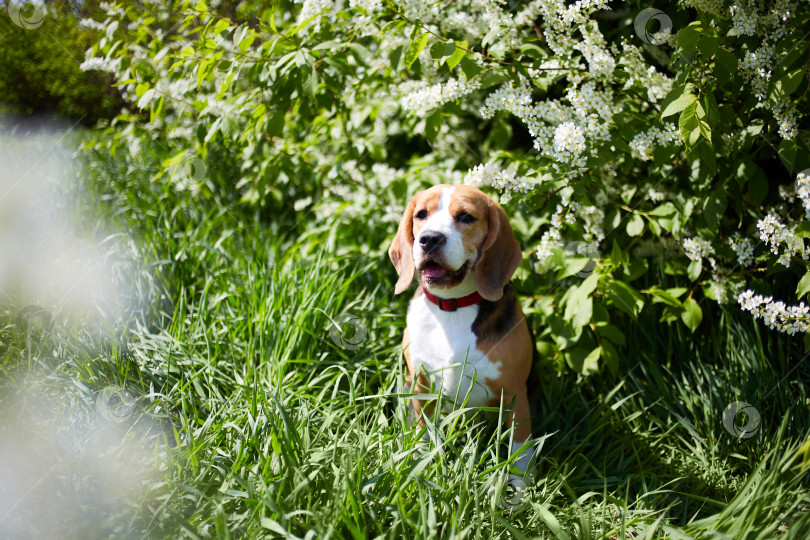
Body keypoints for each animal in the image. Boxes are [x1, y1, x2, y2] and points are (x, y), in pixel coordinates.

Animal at [388, 186, 532, 490]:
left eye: (466, 216)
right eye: (421, 214)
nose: (429, 239)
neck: (453, 306)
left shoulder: (515, 392)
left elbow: (519, 449)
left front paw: (517, 489)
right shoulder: (420, 382)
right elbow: (422, 429)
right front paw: (418, 464)